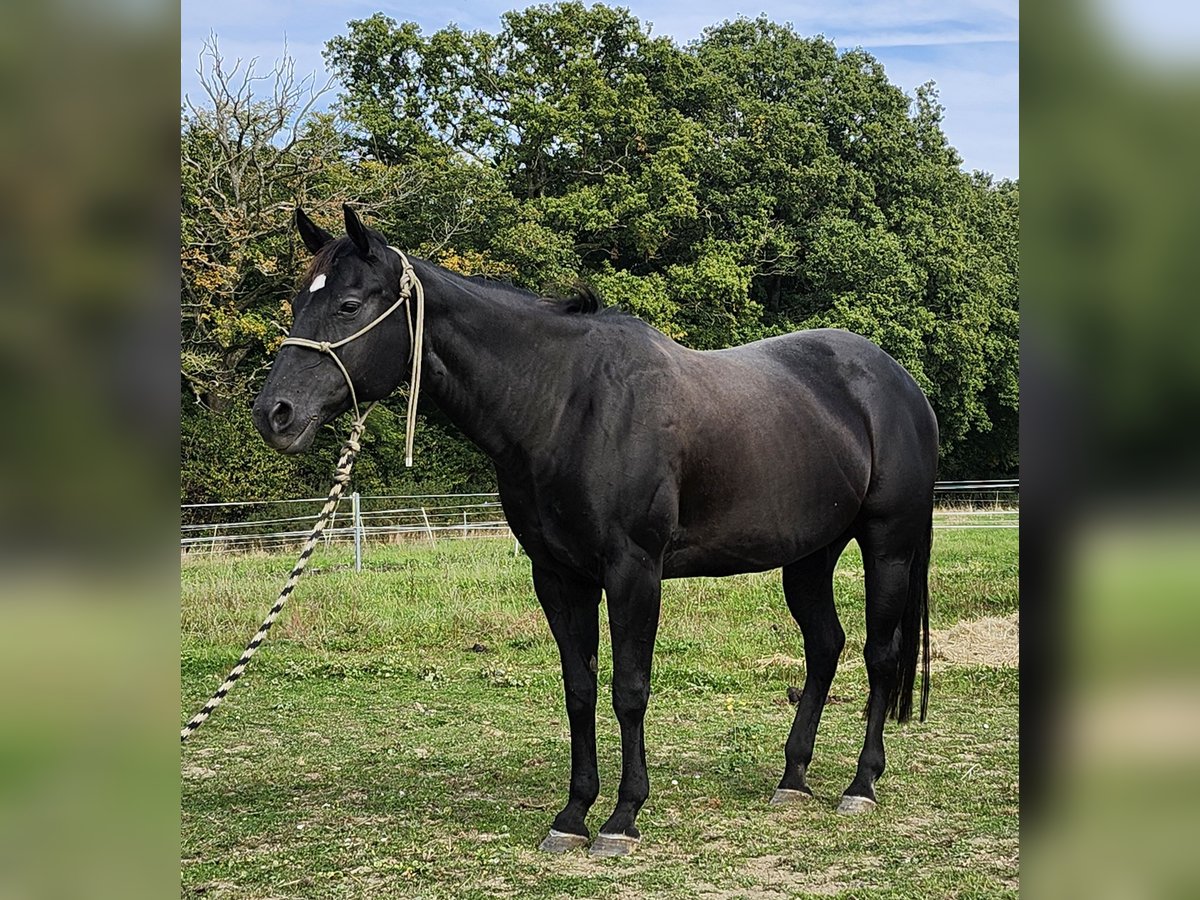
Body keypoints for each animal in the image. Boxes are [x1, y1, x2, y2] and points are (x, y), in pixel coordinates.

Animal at [252, 204, 939, 857]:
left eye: (347, 305)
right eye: (297, 301)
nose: (274, 414)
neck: (566, 404)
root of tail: (900, 383)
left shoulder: (633, 572)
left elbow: (628, 689)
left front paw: (622, 817)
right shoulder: (559, 576)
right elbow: (579, 689)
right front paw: (573, 815)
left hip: (888, 548)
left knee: (879, 655)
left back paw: (861, 784)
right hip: (809, 557)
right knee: (825, 646)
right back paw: (793, 779)